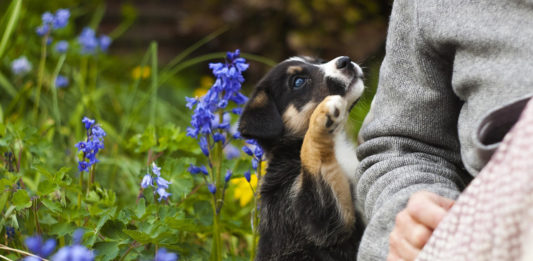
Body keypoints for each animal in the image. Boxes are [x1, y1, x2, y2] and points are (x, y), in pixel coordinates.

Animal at [238, 55, 366, 258]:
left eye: (318, 61)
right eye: (298, 82)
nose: (345, 61)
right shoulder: (320, 219)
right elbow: (312, 151)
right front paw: (321, 114)